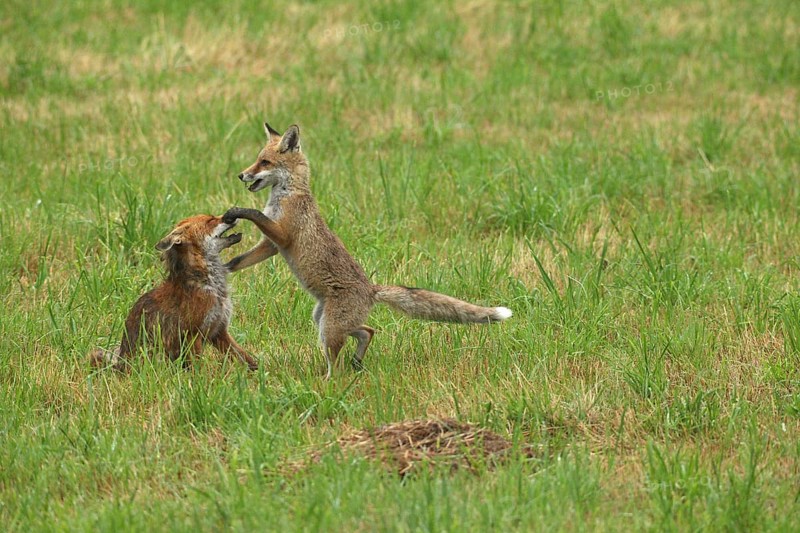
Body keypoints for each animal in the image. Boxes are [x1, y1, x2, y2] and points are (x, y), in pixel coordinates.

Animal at [89, 214, 259, 372]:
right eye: (210, 220)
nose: (232, 216)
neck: (210, 286)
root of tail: (121, 365)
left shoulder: (219, 330)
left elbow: (244, 357)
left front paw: (258, 372)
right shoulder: (192, 334)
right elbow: (199, 367)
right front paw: (203, 380)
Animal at [223, 122, 511, 379]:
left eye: (264, 162)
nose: (241, 175)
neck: (287, 195)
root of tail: (372, 290)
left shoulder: (283, 235)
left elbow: (255, 214)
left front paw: (237, 211)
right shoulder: (271, 245)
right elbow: (240, 260)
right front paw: (224, 268)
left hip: (329, 327)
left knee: (339, 364)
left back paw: (329, 383)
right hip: (323, 320)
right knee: (367, 331)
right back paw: (357, 361)